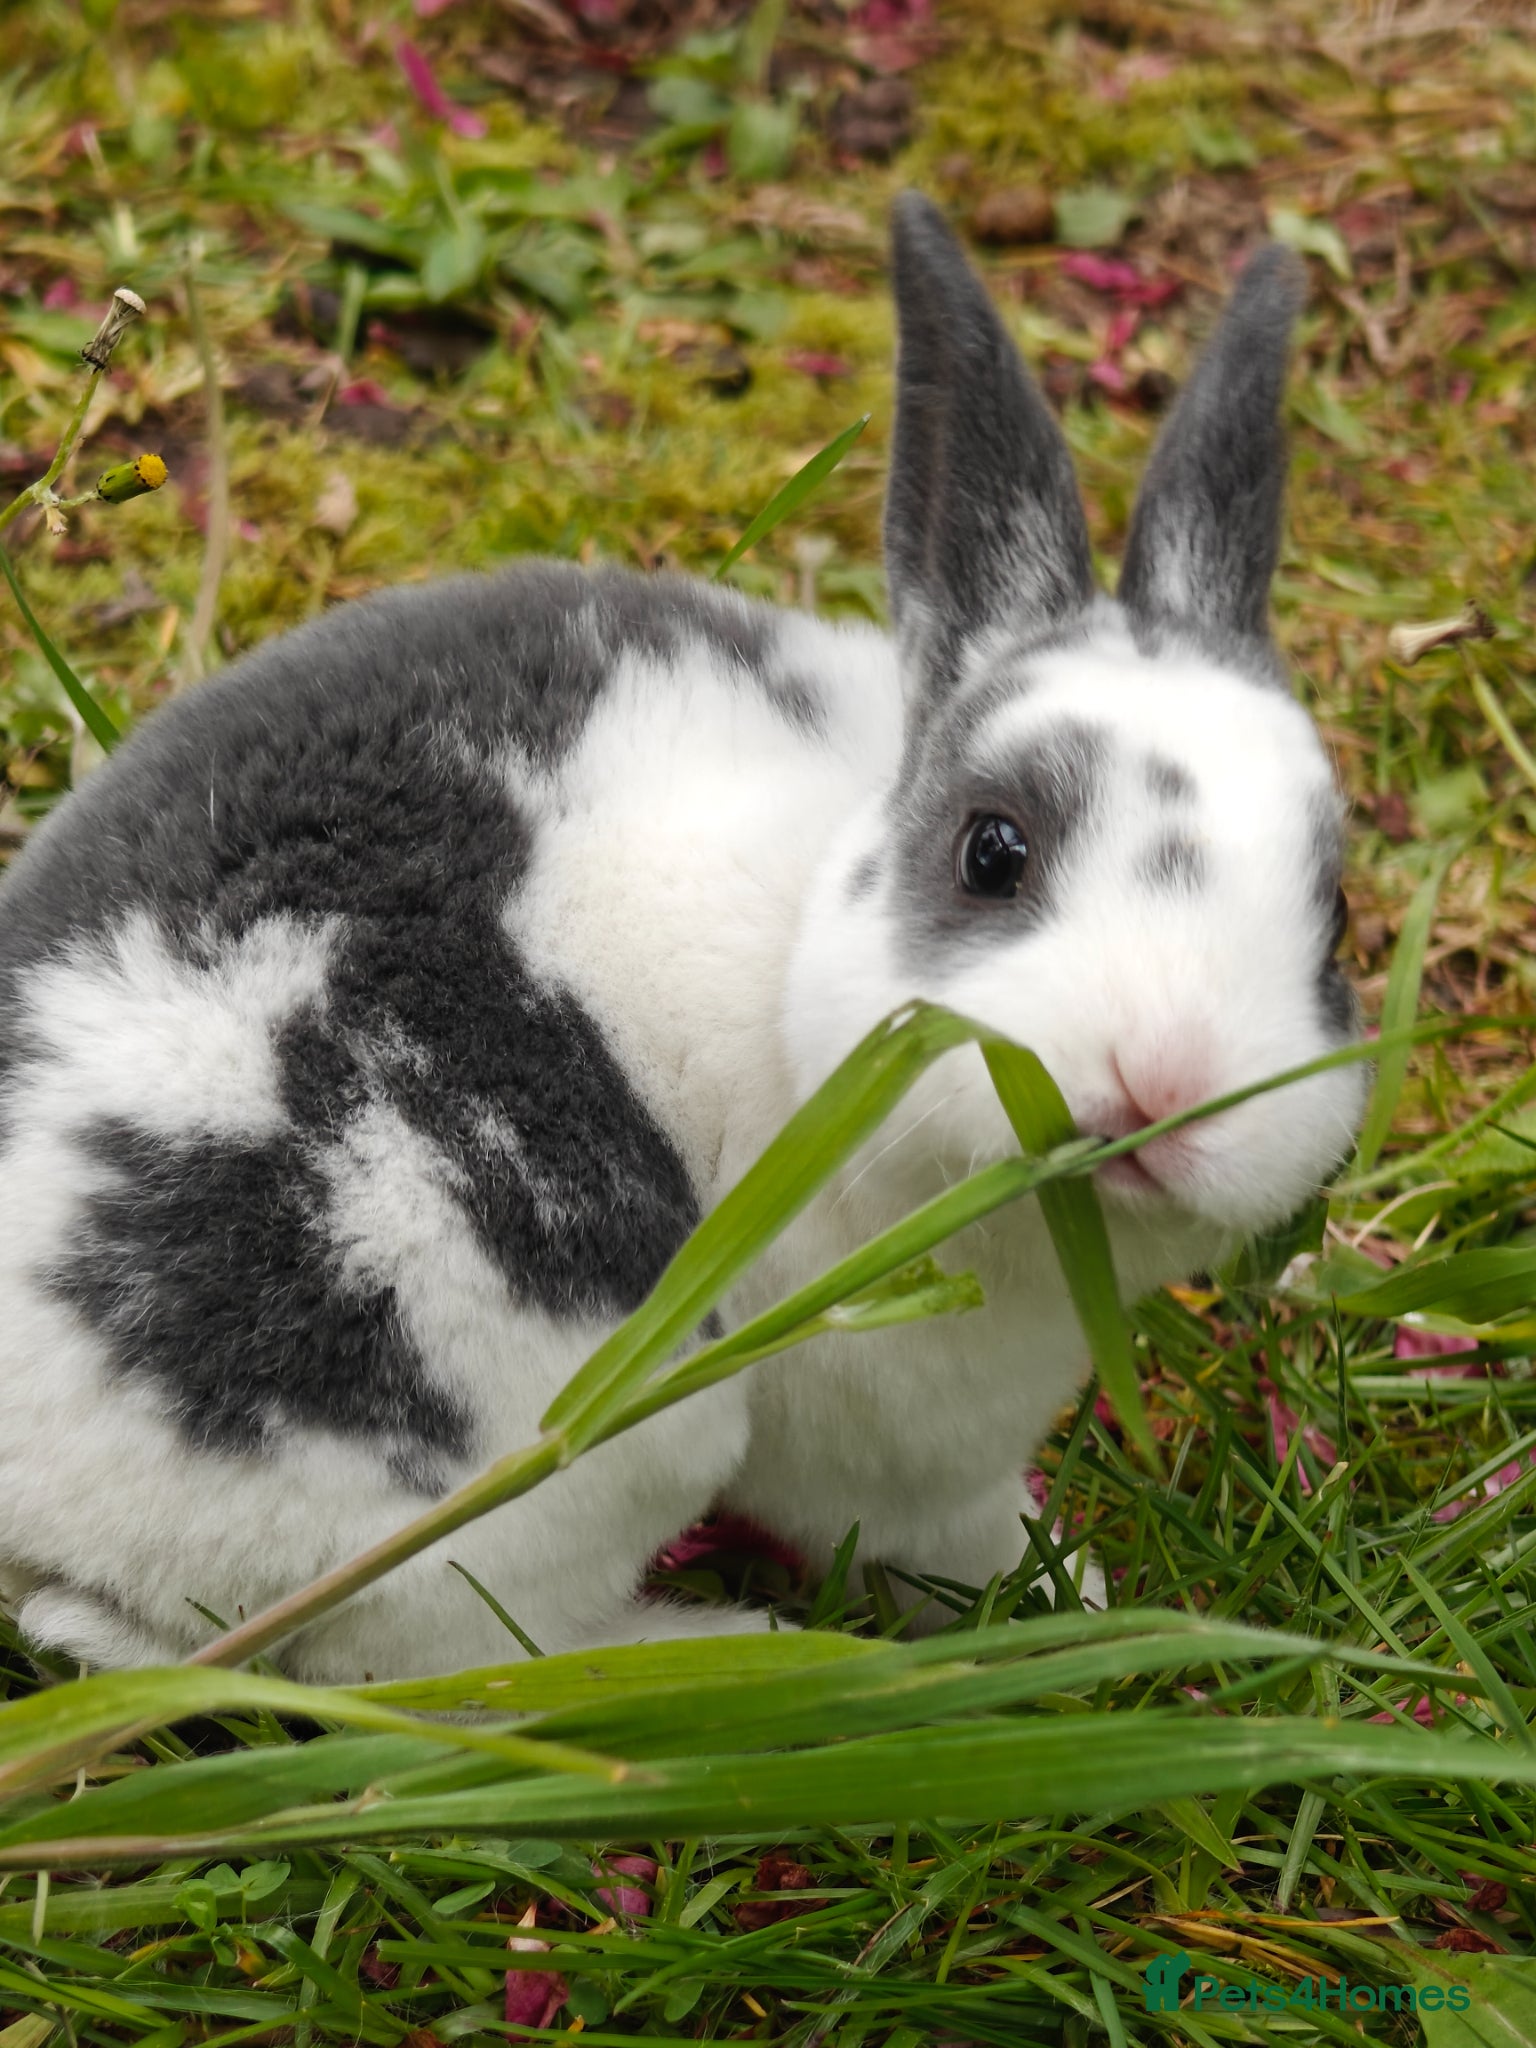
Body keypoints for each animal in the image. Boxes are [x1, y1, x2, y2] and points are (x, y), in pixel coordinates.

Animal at [0, 197, 1366, 1683]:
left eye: (1336, 916)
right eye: (992, 850)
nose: (1168, 1085)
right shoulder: (895, 1453)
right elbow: (945, 1543)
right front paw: (1072, 1605)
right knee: (446, 1668)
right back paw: (719, 1637)